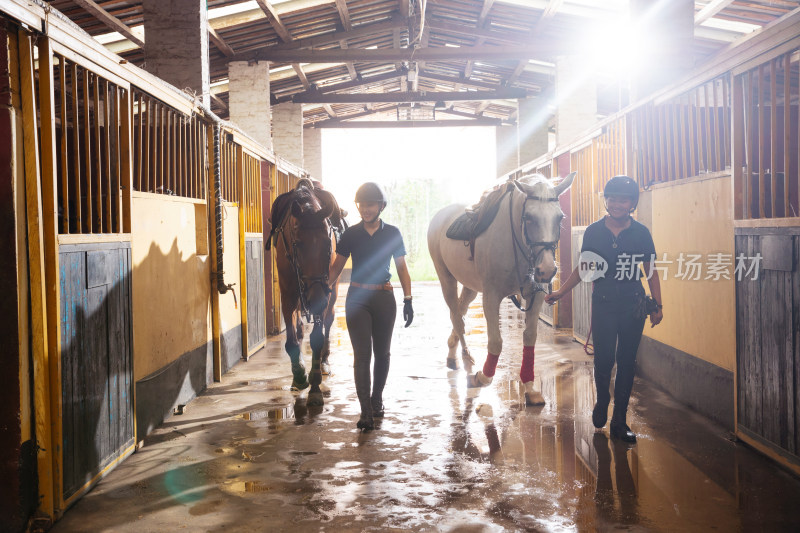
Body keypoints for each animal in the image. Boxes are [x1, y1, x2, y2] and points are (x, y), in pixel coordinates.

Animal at [268, 181, 346, 406]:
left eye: (328, 244)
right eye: (298, 244)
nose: (316, 299)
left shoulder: (325, 292)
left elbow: (318, 337)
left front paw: (315, 382)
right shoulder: (287, 294)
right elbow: (292, 341)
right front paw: (300, 375)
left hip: (332, 291)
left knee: (328, 322)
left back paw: (324, 363)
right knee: (299, 328)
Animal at [424, 174, 576, 404]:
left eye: (560, 218)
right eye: (528, 217)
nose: (547, 270)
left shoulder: (535, 295)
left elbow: (530, 338)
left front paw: (530, 387)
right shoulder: (491, 296)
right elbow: (495, 342)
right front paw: (482, 377)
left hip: (470, 286)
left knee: (460, 312)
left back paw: (453, 354)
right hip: (446, 278)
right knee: (456, 318)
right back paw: (466, 359)